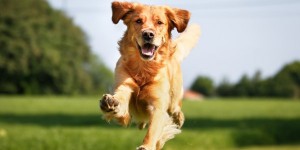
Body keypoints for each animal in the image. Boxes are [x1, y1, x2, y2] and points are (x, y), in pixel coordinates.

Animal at [99, 1, 200, 150]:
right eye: (138, 21)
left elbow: (153, 131)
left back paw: (178, 118)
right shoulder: (125, 89)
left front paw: (146, 146)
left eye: (159, 22)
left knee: (176, 108)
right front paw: (110, 103)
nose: (148, 34)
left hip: (174, 95)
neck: (144, 68)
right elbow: (121, 100)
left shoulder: (158, 106)